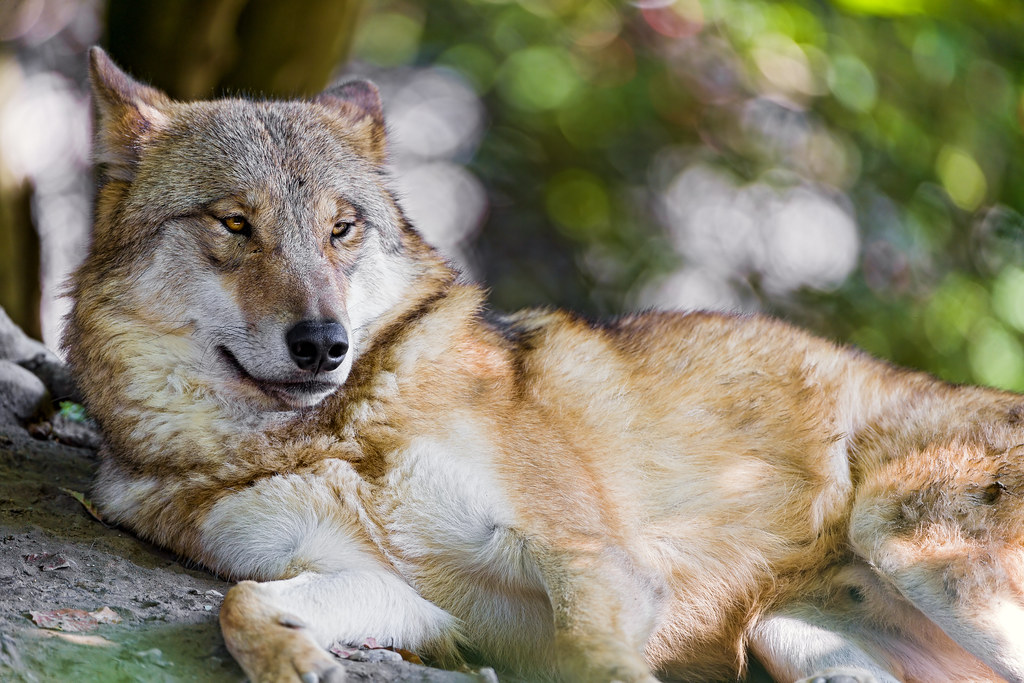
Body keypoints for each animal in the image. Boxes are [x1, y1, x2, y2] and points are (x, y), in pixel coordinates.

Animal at [63, 46, 1024, 683]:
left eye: (342, 228)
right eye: (235, 223)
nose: (324, 343)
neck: (342, 431)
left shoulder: (593, 564)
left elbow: (603, 661)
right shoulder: (395, 589)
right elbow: (240, 602)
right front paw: (293, 659)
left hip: (907, 538)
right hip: (797, 641)